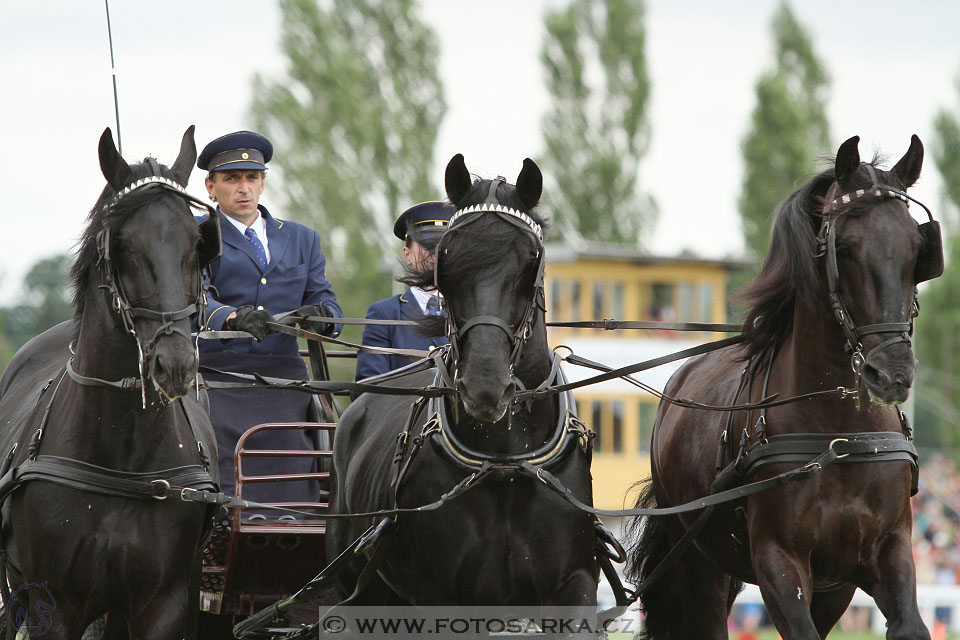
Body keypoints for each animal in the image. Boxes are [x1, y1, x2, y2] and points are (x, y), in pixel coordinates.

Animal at [328, 152, 600, 616]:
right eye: (447, 261)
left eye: (531, 262)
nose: (485, 388)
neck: (505, 464)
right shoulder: (442, 599)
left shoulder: (576, 585)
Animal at [624, 136, 944, 640]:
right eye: (844, 248)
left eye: (917, 248)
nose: (892, 372)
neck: (839, 434)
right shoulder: (778, 560)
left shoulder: (885, 550)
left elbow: (910, 625)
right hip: (698, 561)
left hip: (831, 589)